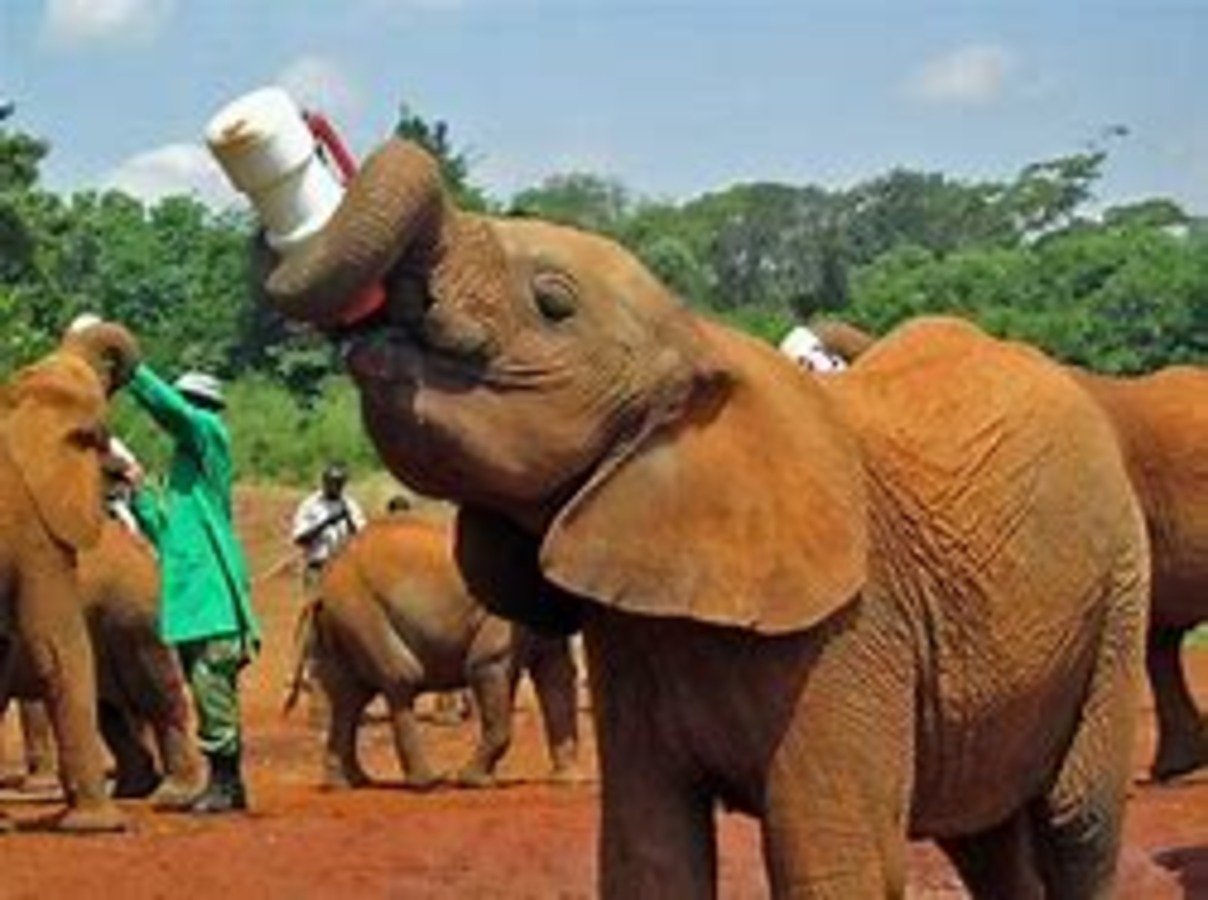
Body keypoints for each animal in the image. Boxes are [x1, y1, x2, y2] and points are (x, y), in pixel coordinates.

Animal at [295, 512, 579, 787]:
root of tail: (324, 579)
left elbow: (557, 676)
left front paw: (566, 781)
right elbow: (487, 664)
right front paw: (474, 782)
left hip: (343, 618)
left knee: (348, 695)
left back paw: (351, 782)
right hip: (358, 609)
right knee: (400, 676)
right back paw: (429, 782)